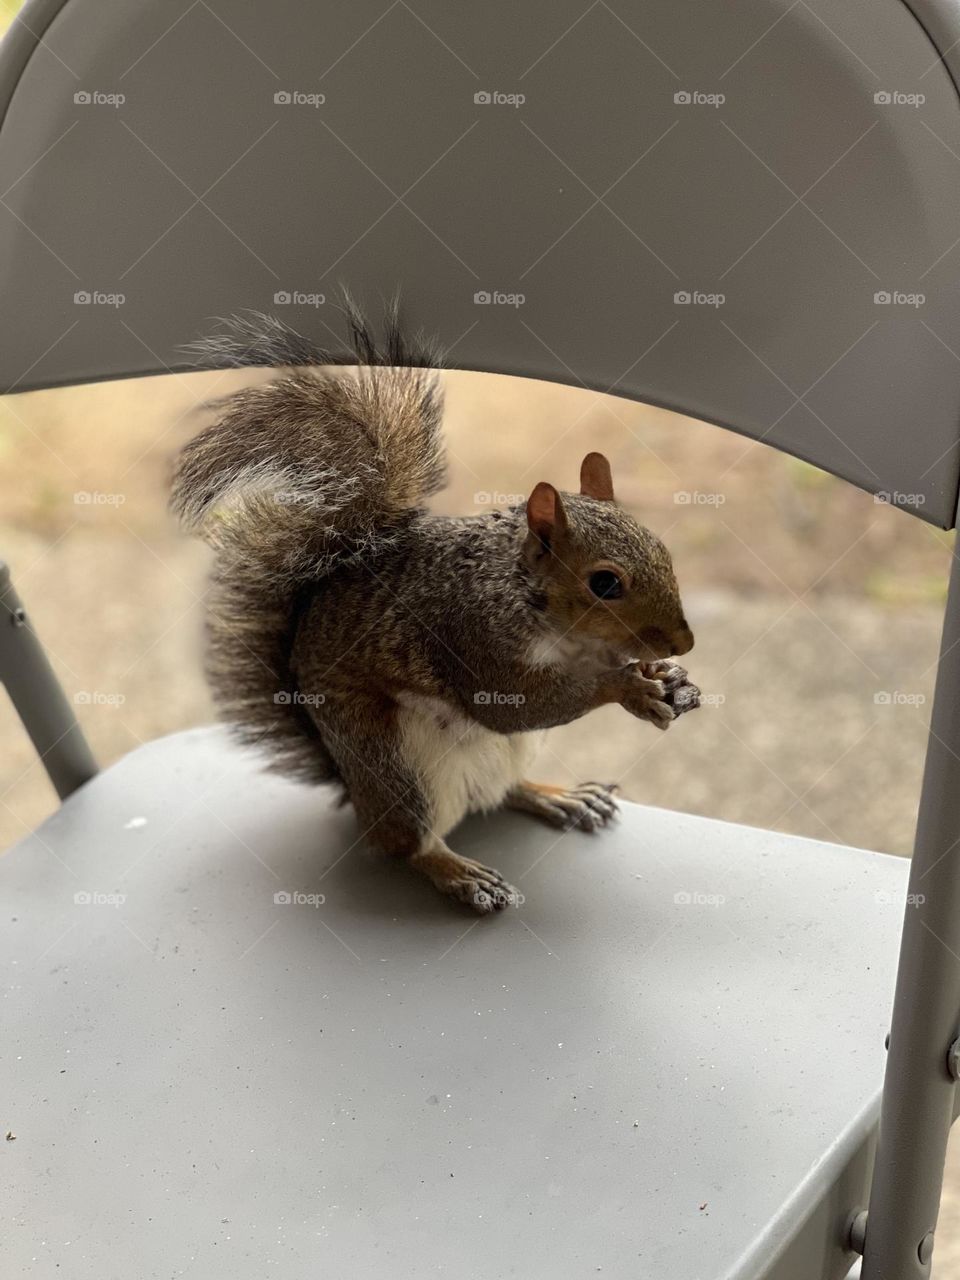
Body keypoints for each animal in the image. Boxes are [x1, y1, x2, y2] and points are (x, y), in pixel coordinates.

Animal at [171, 304, 700, 915]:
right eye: (605, 583)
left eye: (661, 547)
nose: (684, 643)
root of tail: (354, 791)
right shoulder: (468, 634)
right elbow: (517, 703)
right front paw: (629, 688)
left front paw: (668, 677)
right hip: (395, 767)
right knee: (408, 844)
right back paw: (459, 871)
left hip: (505, 755)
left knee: (501, 791)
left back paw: (560, 796)